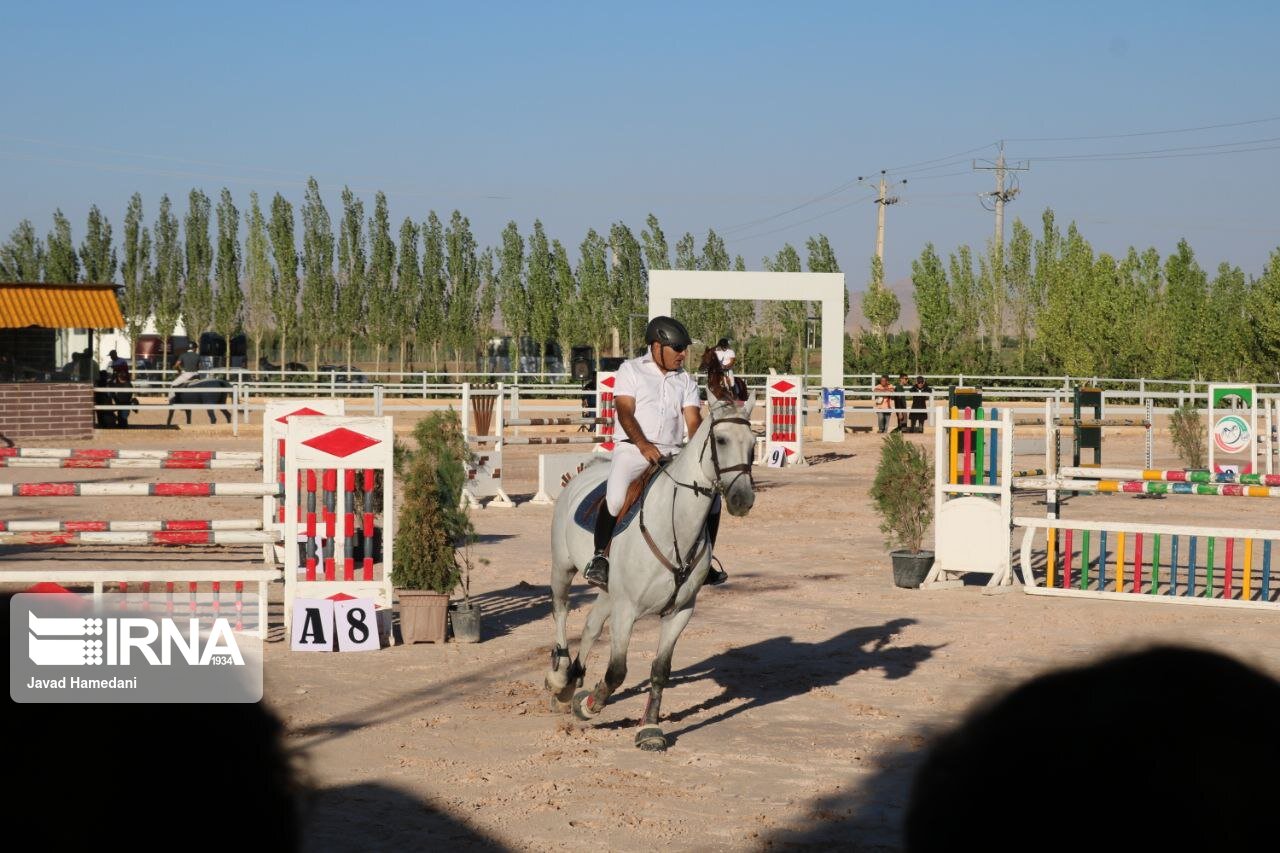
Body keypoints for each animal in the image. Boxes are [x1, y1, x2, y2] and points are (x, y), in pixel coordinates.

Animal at [545, 391, 752, 742]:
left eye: (753, 443)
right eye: (722, 440)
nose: (742, 499)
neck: (674, 528)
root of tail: (584, 475)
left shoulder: (679, 611)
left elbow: (660, 671)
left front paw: (650, 728)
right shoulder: (626, 609)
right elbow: (617, 671)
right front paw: (589, 706)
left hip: (608, 591)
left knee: (590, 627)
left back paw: (574, 680)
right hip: (563, 566)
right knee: (561, 611)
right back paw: (560, 678)